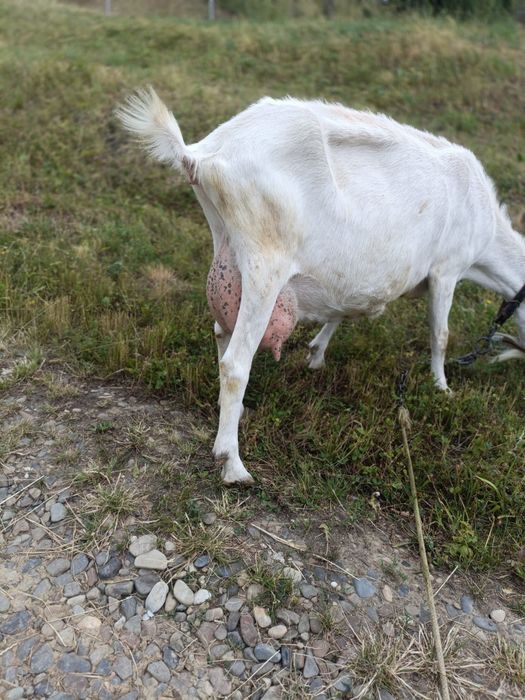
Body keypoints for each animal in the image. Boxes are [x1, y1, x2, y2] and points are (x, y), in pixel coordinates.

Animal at [117, 88, 525, 484]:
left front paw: (316, 355)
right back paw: (233, 464)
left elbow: (342, 310)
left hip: (228, 258)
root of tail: (201, 153)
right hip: (266, 263)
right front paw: (442, 388)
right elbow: (440, 335)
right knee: (235, 363)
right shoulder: (446, 269)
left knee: (221, 333)